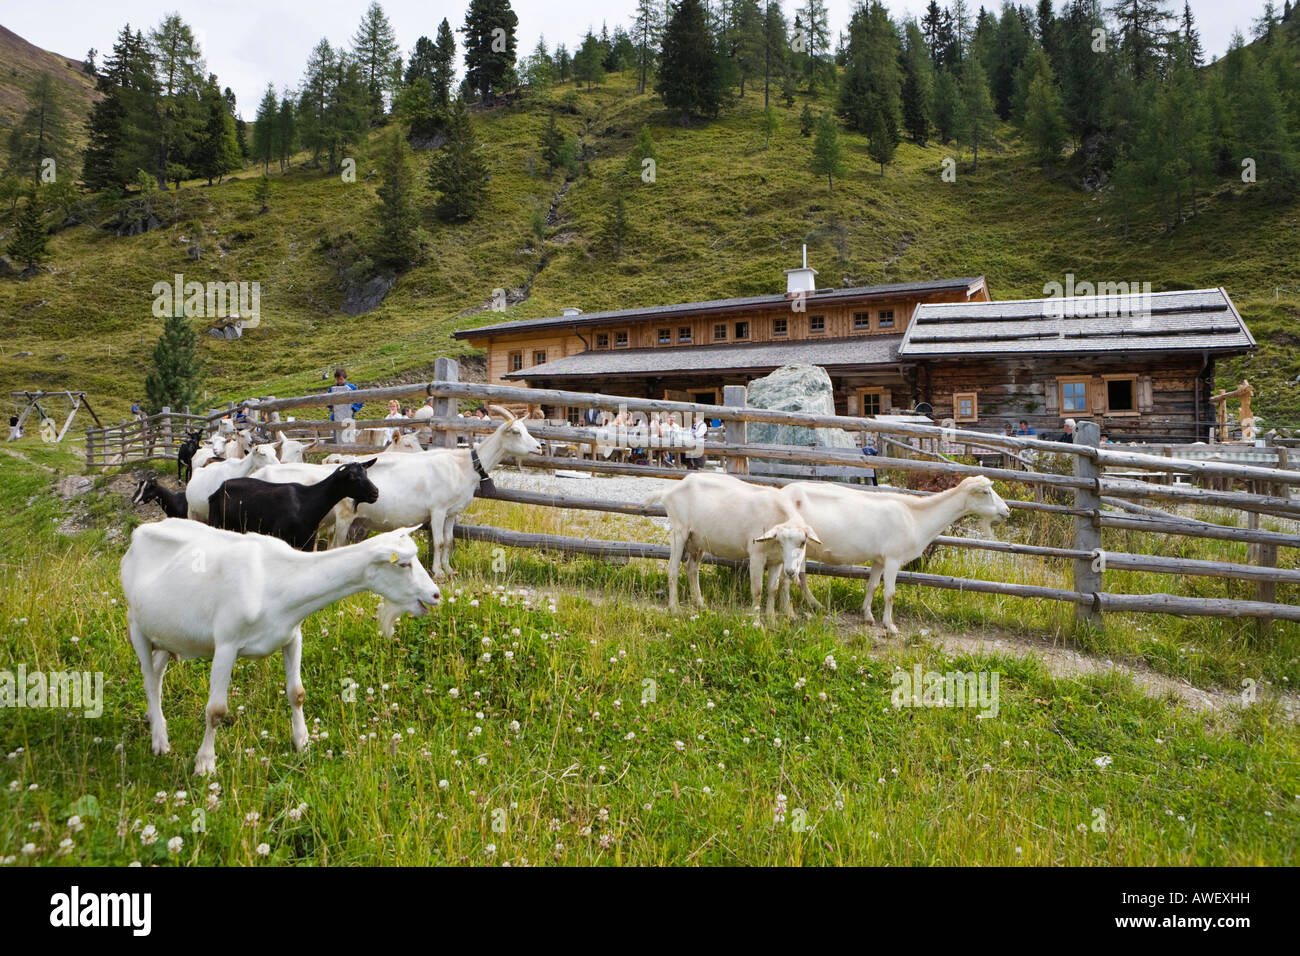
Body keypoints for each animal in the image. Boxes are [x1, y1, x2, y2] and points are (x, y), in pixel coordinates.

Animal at [122, 520, 436, 775]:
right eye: (403, 564)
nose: (435, 594)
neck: (277, 580)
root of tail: (139, 534)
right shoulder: (226, 644)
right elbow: (216, 711)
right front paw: (205, 763)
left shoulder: (292, 636)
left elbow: (297, 693)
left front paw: (303, 742)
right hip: (136, 625)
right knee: (148, 677)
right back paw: (160, 741)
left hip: (166, 633)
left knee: (157, 673)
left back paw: (153, 718)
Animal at [208, 460, 379, 548]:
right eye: (352, 476)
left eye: (366, 473)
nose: (375, 493)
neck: (306, 502)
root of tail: (220, 488)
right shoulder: (281, 537)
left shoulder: (308, 543)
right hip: (216, 522)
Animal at [650, 473, 821, 621]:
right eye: (781, 542)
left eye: (803, 542)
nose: (791, 572)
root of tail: (669, 492)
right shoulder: (757, 555)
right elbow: (757, 590)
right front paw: (757, 624)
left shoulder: (776, 561)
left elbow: (772, 589)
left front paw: (771, 621)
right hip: (679, 531)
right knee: (672, 569)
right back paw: (675, 609)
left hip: (697, 540)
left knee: (692, 569)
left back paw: (700, 604)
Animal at [774, 473, 1008, 634]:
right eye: (986, 492)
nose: (1007, 510)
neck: (915, 517)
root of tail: (780, 493)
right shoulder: (894, 558)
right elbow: (890, 593)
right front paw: (890, 626)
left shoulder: (880, 559)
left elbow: (872, 586)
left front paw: (868, 616)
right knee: (786, 579)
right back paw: (790, 613)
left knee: (799, 577)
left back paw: (815, 605)